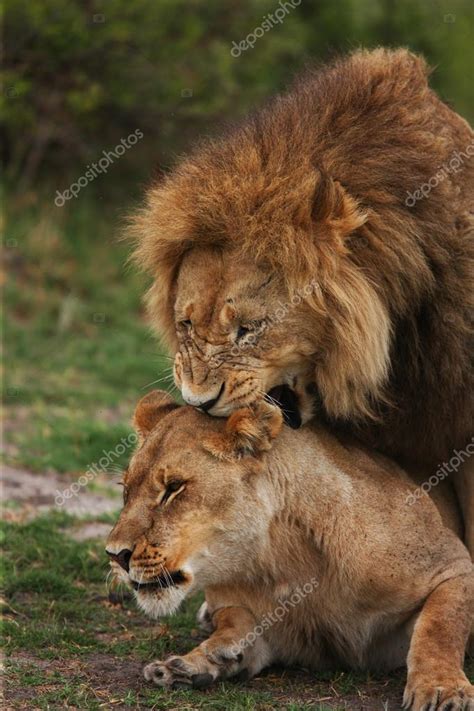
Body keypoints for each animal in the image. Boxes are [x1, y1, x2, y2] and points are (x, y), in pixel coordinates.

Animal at [107, 392, 474, 708]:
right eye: (126, 490)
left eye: (173, 488)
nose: (115, 555)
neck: (280, 557)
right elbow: (236, 623)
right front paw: (194, 661)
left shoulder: (454, 565)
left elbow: (439, 627)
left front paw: (440, 688)